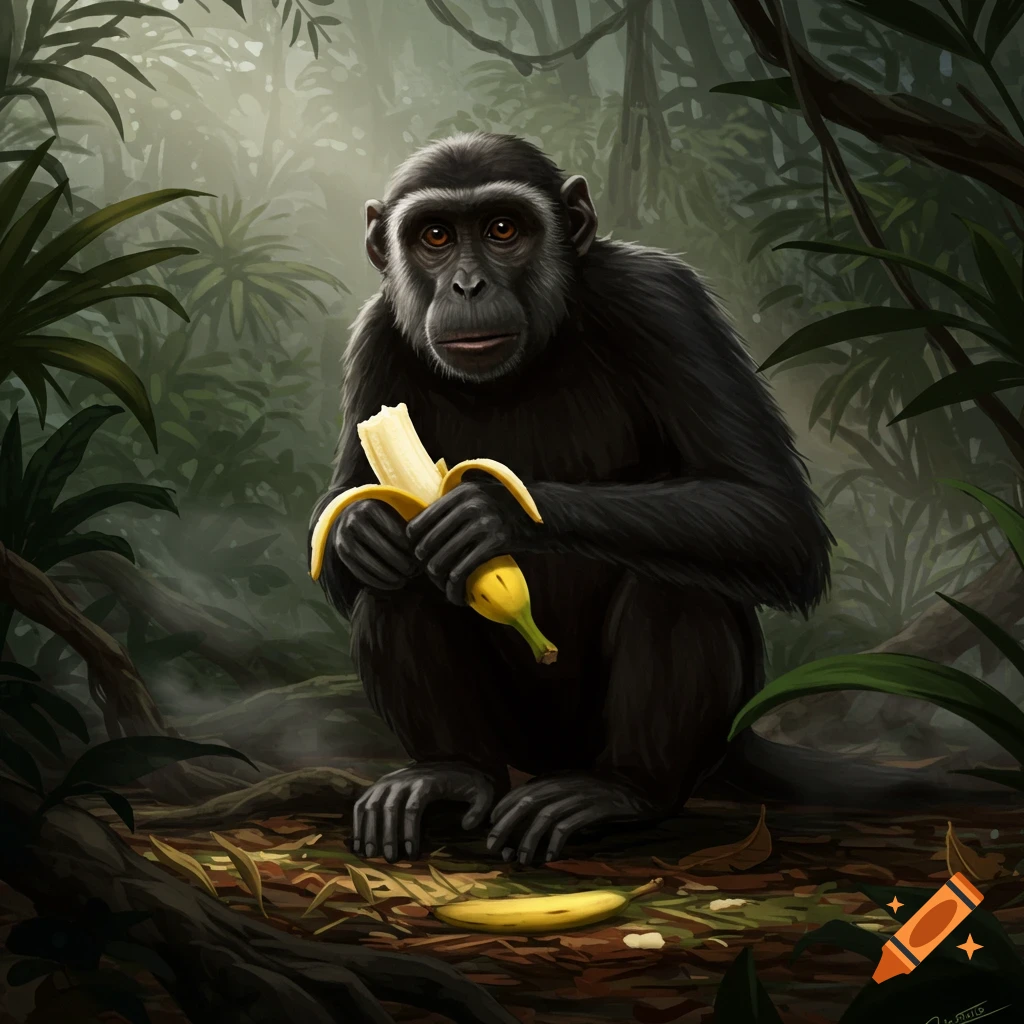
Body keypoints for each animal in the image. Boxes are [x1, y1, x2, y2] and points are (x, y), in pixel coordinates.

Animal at [310, 132, 1009, 868]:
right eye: (436, 236)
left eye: (503, 229)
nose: (467, 284)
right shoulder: (375, 339)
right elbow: (353, 520)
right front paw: (362, 524)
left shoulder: (664, 304)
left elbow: (773, 511)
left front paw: (490, 512)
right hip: (523, 741)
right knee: (395, 578)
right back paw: (451, 769)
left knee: (677, 577)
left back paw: (621, 791)